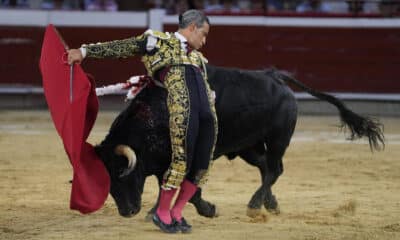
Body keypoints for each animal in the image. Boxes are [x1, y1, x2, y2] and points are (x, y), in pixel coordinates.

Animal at [94, 64, 384, 218]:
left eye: (120, 174)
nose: (127, 211)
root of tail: (274, 76)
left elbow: (189, 186)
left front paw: (207, 209)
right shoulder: (167, 158)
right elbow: (166, 182)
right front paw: (156, 211)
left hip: (278, 139)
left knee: (275, 168)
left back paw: (255, 205)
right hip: (249, 146)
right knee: (266, 168)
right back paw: (270, 203)